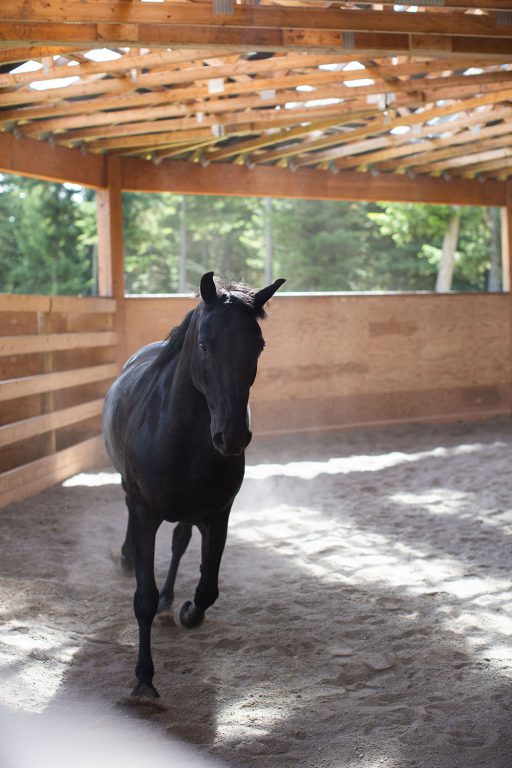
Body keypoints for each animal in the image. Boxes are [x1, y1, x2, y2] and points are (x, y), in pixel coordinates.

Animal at [100, 270, 284, 696]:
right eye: (204, 345)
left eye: (258, 346)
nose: (232, 436)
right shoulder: (146, 514)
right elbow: (143, 598)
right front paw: (144, 679)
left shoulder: (217, 515)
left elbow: (207, 588)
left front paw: (187, 612)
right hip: (132, 492)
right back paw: (128, 560)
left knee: (180, 542)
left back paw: (171, 601)